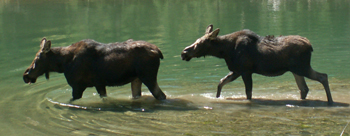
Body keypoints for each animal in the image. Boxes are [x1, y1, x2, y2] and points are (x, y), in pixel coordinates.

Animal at [23, 37, 167, 100]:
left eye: (37, 59)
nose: (25, 75)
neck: (62, 64)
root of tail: (159, 52)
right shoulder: (99, 84)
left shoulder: (77, 86)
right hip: (136, 79)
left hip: (148, 76)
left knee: (161, 95)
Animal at [182, 24, 332, 104]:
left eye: (200, 43)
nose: (184, 52)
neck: (224, 51)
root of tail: (310, 46)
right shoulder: (236, 70)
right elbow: (221, 83)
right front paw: (217, 98)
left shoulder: (245, 70)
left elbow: (248, 92)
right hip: (296, 70)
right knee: (304, 88)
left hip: (302, 67)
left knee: (323, 76)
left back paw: (330, 102)